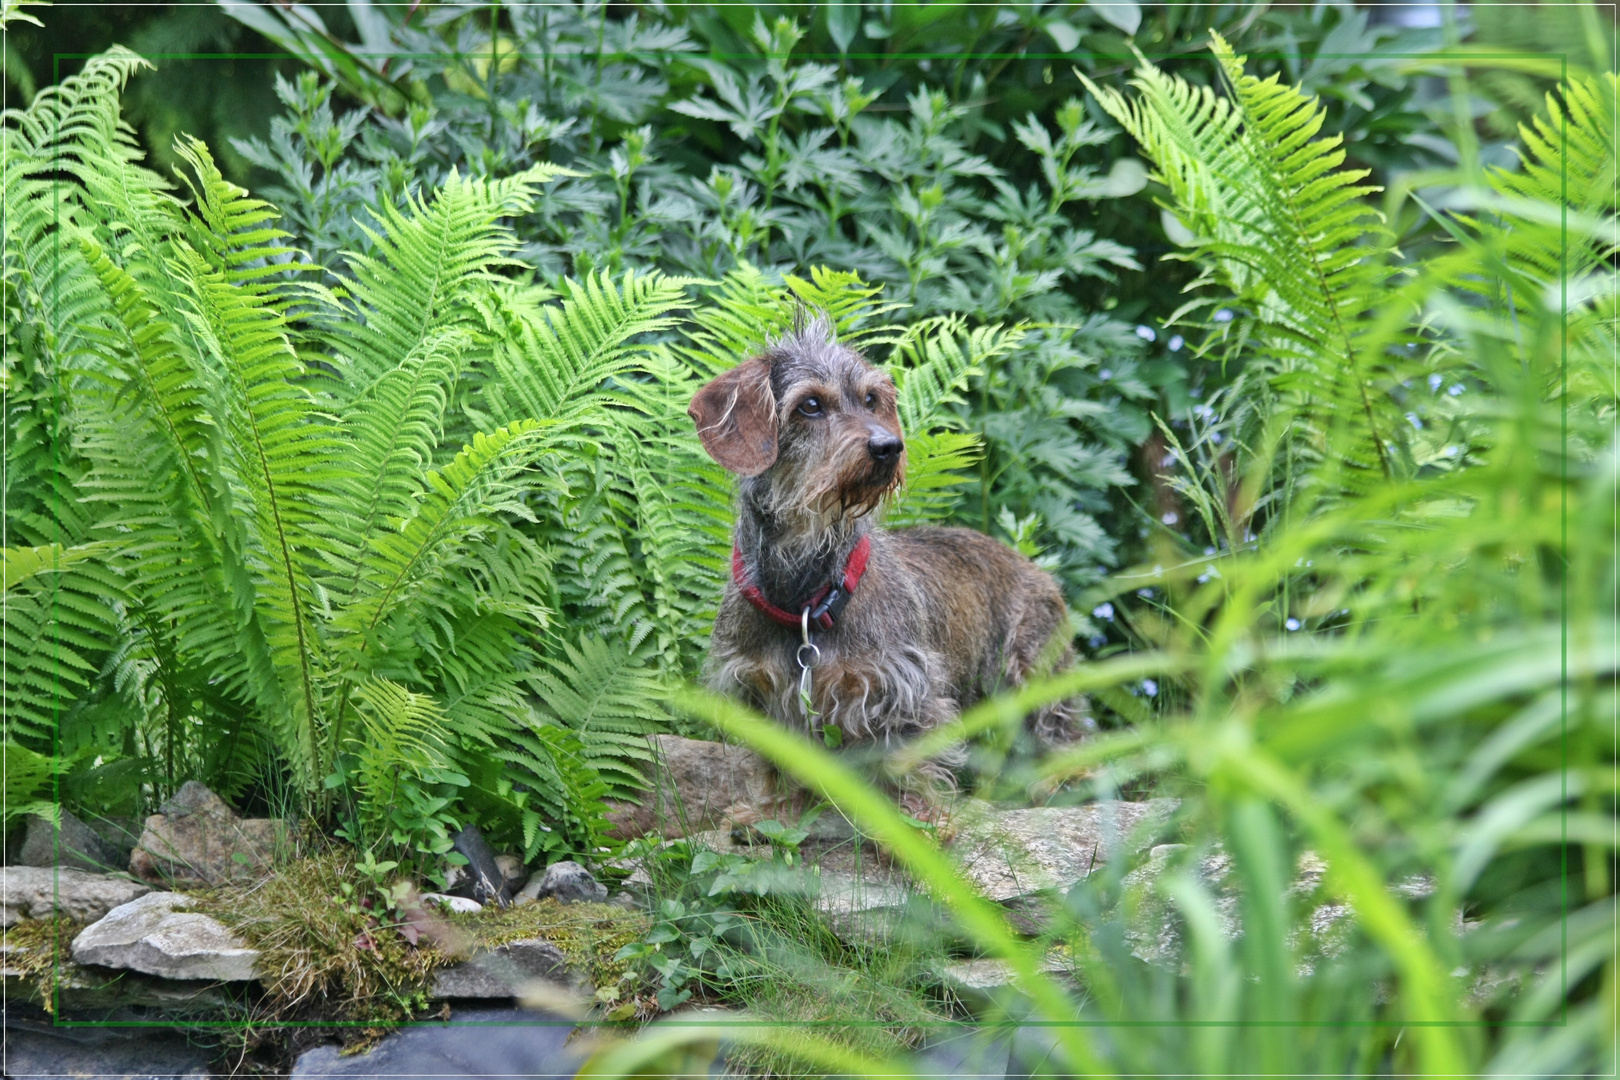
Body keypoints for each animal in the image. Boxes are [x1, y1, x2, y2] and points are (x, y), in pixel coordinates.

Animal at [686, 312, 1082, 803]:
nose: (889, 447)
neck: (806, 592)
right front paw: (766, 812)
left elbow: (912, 765)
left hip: (1034, 674)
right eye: (810, 405)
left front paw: (919, 819)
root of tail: (1035, 569)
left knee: (1063, 736)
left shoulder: (906, 685)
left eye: (871, 399)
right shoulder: (756, 689)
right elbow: (777, 770)